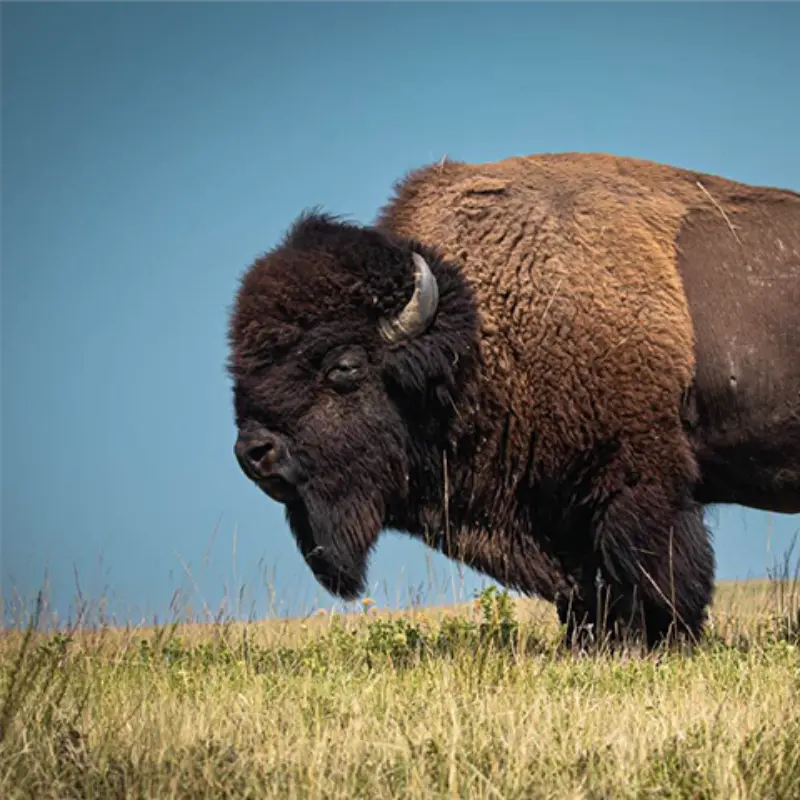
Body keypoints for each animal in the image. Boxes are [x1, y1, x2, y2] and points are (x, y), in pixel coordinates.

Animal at [227, 152, 800, 649]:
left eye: (344, 367)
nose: (254, 453)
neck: (479, 333)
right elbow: (588, 588)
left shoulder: (640, 478)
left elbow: (657, 571)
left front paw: (665, 641)